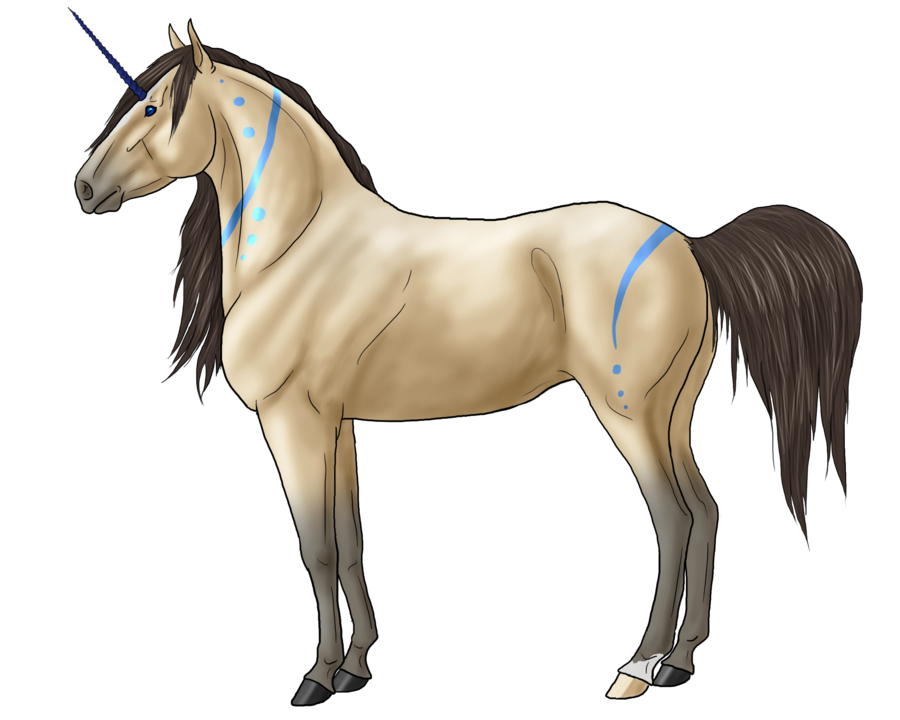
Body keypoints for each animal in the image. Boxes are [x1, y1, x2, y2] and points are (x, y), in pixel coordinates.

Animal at [72, 14, 863, 704]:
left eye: (149, 107)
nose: (83, 187)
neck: (302, 248)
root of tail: (686, 245)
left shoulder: (292, 422)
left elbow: (316, 548)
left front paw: (315, 679)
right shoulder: (337, 426)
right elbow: (351, 541)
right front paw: (355, 668)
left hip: (630, 416)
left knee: (672, 519)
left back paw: (637, 669)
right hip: (670, 416)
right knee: (705, 511)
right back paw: (679, 663)